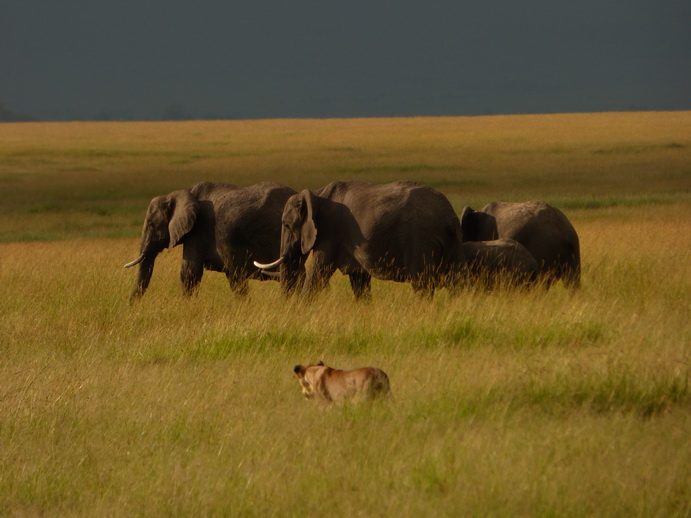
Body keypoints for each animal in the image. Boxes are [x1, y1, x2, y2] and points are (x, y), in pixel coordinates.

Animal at [125, 183, 298, 302]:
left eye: (151, 224)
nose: (130, 306)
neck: (183, 193)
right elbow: (234, 277)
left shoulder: (198, 230)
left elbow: (189, 272)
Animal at [254, 181, 464, 300]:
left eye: (286, 225)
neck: (317, 195)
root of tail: (450, 217)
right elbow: (359, 280)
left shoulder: (330, 231)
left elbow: (318, 272)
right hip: (449, 242)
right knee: (454, 281)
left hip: (422, 238)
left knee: (422, 285)